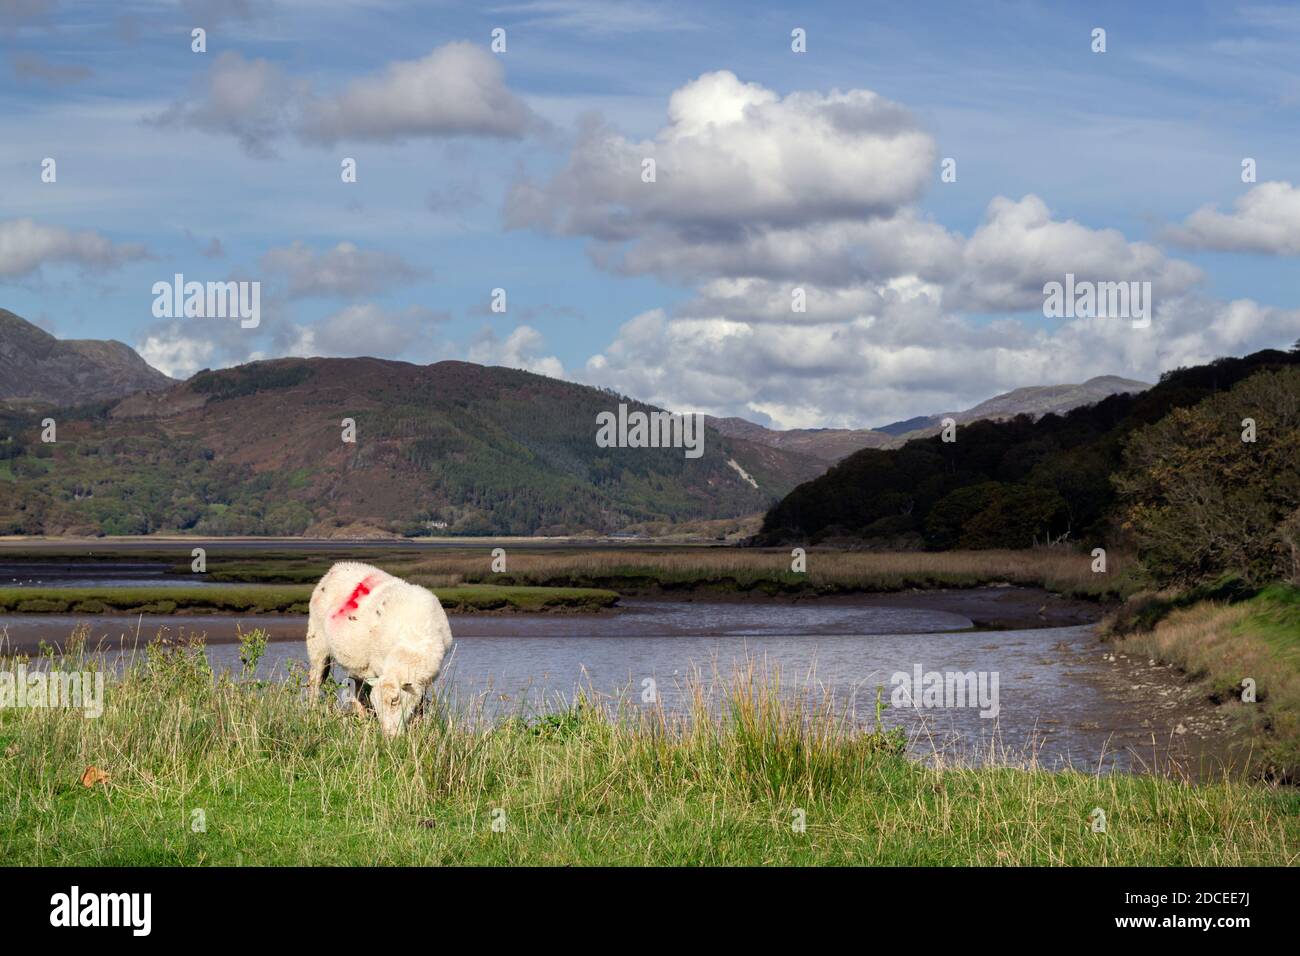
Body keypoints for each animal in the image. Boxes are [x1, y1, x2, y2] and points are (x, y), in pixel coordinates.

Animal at [304, 561, 452, 738]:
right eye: (376, 704)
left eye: (395, 700)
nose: (389, 737)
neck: (411, 645)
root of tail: (335, 568)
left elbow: (420, 701)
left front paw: (418, 724)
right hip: (317, 641)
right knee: (315, 680)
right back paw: (314, 711)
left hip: (356, 662)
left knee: (355, 688)